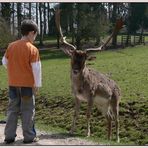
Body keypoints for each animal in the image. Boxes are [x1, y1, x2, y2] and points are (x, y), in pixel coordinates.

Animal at [55, 8, 122, 143]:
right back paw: (108, 138)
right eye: (72, 56)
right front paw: (71, 131)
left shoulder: (91, 96)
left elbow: (87, 114)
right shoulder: (76, 97)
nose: (75, 70)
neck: (79, 88)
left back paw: (117, 139)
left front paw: (87, 133)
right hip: (102, 105)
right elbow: (75, 113)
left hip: (115, 101)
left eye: (84, 59)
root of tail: (120, 88)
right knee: (109, 117)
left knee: (117, 118)